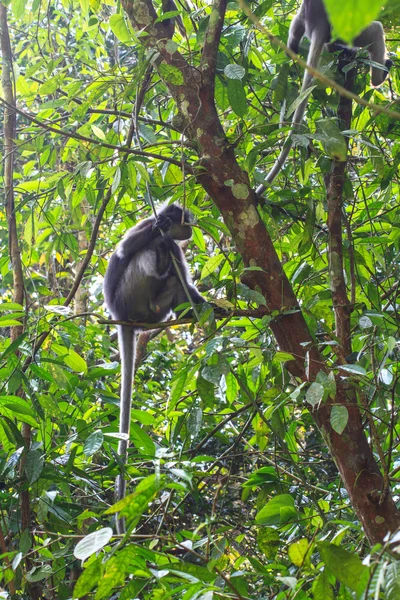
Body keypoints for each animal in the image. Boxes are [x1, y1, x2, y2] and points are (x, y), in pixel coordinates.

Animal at [103, 204, 205, 532]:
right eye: (186, 218)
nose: (191, 226)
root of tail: (120, 316)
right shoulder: (147, 225)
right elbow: (125, 250)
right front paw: (160, 224)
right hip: (128, 295)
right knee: (147, 254)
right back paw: (158, 261)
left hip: (155, 312)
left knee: (173, 279)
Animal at [256, 0, 390, 193]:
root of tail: (317, 24)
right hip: (346, 30)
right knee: (376, 30)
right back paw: (378, 77)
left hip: (306, 20)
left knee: (296, 28)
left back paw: (293, 50)